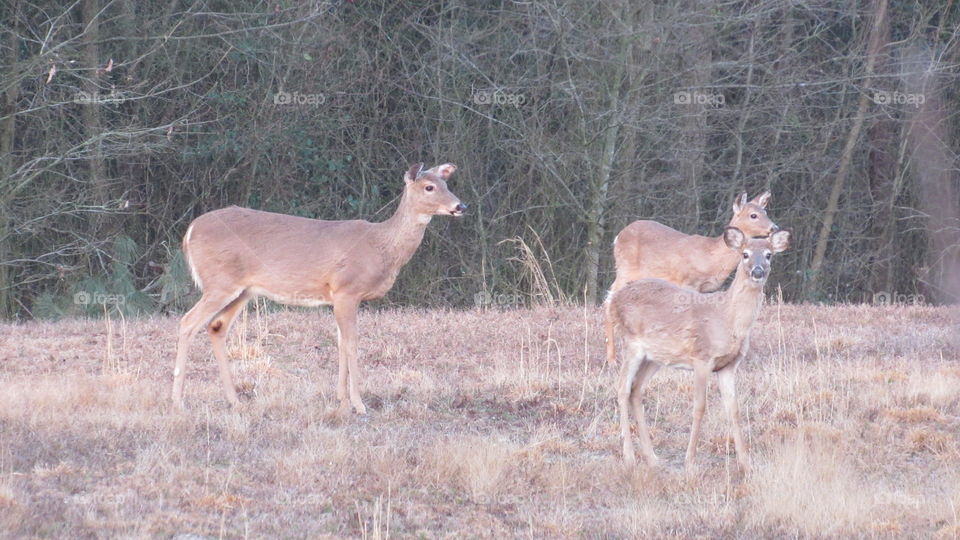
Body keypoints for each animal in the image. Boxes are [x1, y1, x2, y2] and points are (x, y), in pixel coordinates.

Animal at [171, 162, 466, 414]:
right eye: (429, 187)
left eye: (446, 182)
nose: (460, 205)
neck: (380, 246)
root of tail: (190, 230)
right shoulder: (348, 289)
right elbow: (351, 344)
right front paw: (358, 404)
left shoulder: (335, 296)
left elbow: (340, 343)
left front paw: (341, 400)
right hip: (219, 282)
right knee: (187, 322)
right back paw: (178, 400)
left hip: (242, 290)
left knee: (216, 327)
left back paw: (234, 400)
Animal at [604, 192, 778, 364]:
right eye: (753, 215)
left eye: (765, 211)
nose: (774, 228)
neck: (711, 256)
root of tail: (618, 236)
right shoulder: (687, 281)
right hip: (625, 269)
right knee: (609, 299)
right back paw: (612, 359)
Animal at [607, 227, 791, 472]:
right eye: (745, 254)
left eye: (769, 255)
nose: (758, 271)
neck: (727, 318)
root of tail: (615, 299)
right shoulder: (702, 358)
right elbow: (699, 407)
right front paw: (690, 461)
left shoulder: (728, 366)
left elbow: (734, 410)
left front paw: (745, 463)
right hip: (632, 343)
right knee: (622, 387)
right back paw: (629, 457)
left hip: (655, 357)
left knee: (636, 390)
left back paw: (652, 458)